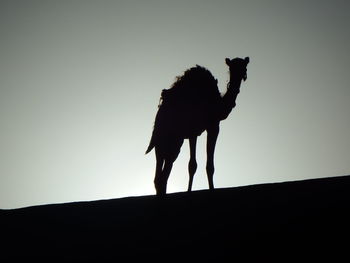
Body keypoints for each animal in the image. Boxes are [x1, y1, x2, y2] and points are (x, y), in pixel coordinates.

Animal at [146, 56, 249, 196]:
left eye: (244, 67)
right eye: (231, 68)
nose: (241, 76)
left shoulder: (207, 127)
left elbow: (203, 165)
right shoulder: (201, 128)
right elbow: (195, 165)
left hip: (172, 141)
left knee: (162, 175)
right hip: (166, 139)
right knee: (162, 175)